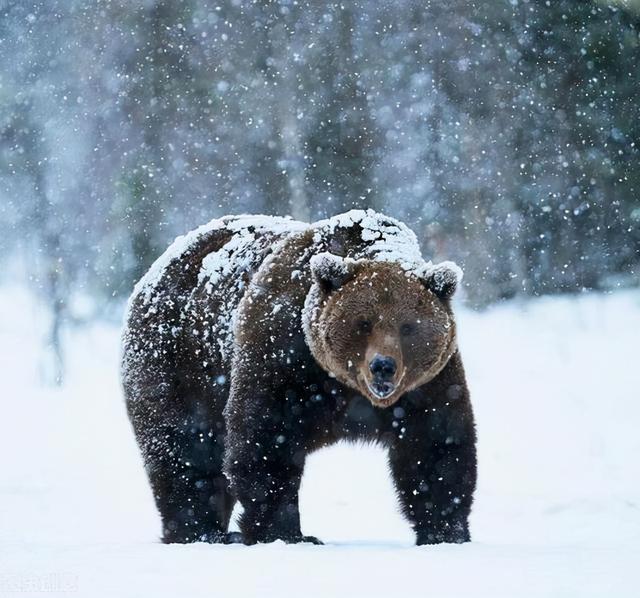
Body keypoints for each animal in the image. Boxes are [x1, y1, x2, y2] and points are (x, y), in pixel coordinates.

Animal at [122, 209, 476, 546]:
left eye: (407, 327)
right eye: (364, 323)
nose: (383, 366)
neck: (345, 386)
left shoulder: (428, 383)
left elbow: (437, 445)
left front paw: (445, 531)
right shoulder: (283, 355)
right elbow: (266, 440)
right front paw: (287, 532)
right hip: (178, 362)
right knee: (185, 451)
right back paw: (200, 531)